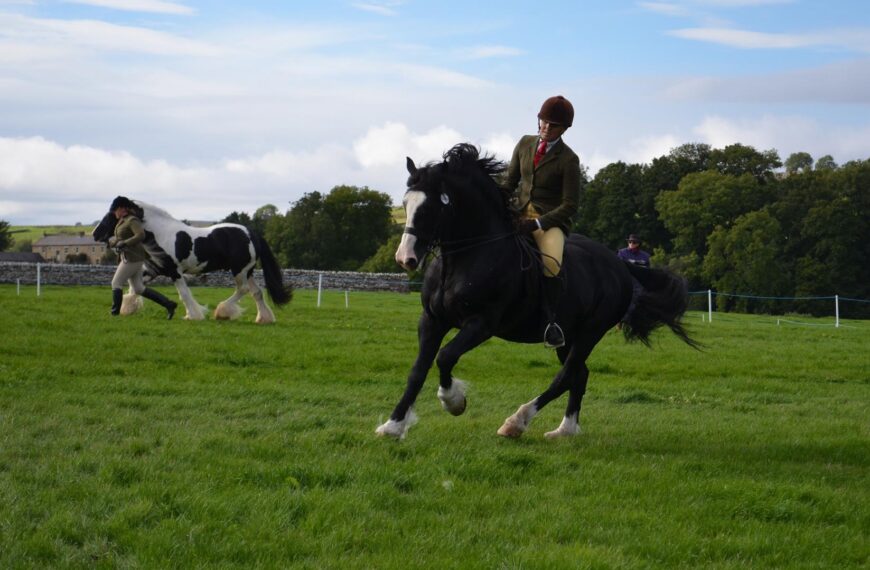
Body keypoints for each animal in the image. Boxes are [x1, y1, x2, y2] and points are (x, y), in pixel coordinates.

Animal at [92, 198, 292, 323]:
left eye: (112, 215)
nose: (95, 234)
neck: (161, 234)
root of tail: (252, 233)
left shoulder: (175, 272)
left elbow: (184, 294)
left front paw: (193, 315)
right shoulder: (154, 269)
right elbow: (135, 288)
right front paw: (127, 309)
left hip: (239, 270)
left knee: (243, 290)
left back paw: (222, 311)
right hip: (247, 271)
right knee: (256, 292)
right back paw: (263, 319)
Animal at [376, 143, 698, 439]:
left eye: (430, 207)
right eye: (405, 203)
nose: (405, 259)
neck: (465, 258)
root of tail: (618, 264)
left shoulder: (481, 324)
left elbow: (445, 357)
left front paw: (454, 402)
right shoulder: (432, 320)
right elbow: (418, 370)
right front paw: (393, 425)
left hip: (590, 332)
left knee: (565, 375)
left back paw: (516, 422)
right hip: (569, 336)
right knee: (579, 374)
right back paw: (565, 429)